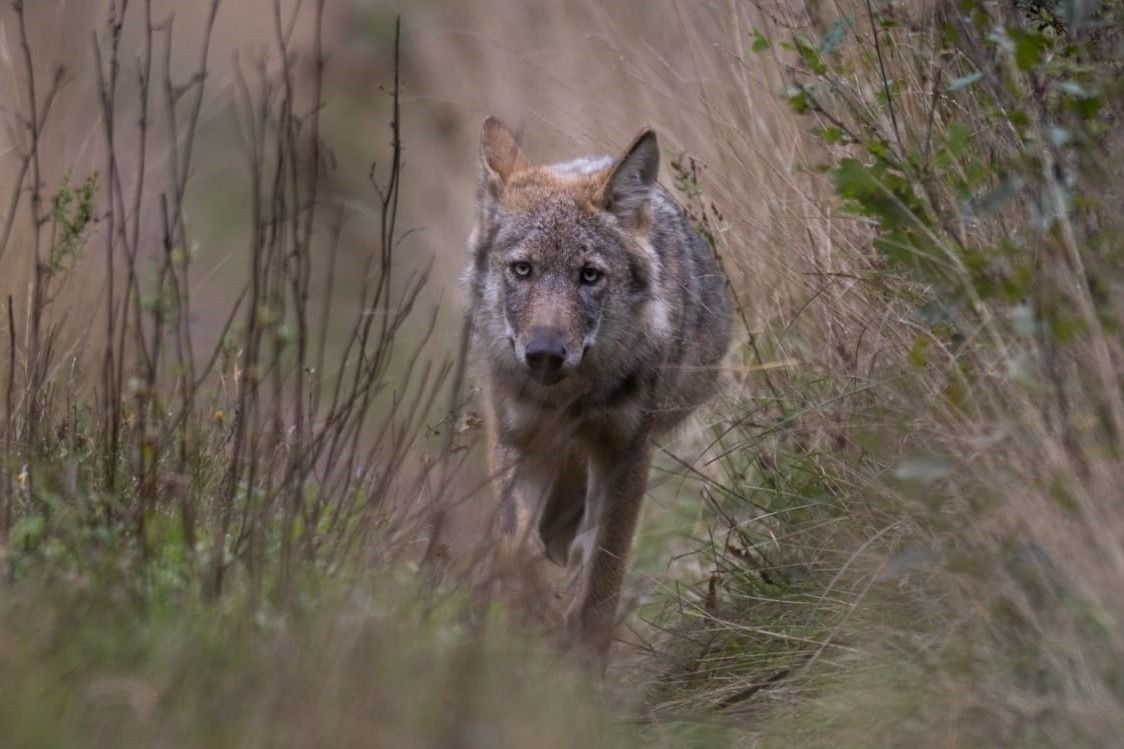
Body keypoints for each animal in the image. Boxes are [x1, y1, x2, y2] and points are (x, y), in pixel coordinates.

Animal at [463, 117, 732, 657]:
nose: (545, 353)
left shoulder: (626, 451)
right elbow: (515, 550)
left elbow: (601, 586)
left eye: (589, 275)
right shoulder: (517, 441)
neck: (567, 402)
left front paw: (579, 665)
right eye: (522, 269)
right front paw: (531, 620)